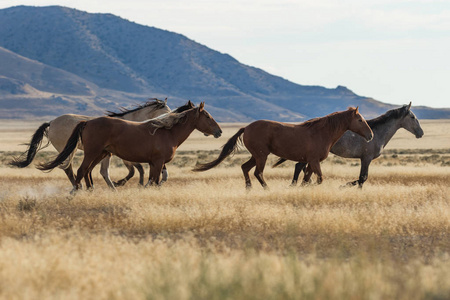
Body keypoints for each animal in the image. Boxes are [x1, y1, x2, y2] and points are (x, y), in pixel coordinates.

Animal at [38, 102, 221, 193]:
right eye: (207, 116)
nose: (219, 131)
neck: (167, 132)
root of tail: (87, 122)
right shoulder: (156, 161)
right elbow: (151, 179)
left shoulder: (156, 163)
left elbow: (155, 178)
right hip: (90, 152)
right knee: (78, 170)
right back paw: (76, 191)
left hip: (101, 154)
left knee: (88, 171)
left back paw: (90, 190)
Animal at [193, 106, 372, 189]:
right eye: (360, 120)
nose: (370, 135)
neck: (322, 132)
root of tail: (247, 127)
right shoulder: (314, 161)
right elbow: (319, 179)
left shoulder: (310, 162)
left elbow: (306, 179)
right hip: (261, 156)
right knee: (258, 173)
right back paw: (267, 189)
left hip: (256, 156)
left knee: (245, 168)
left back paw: (248, 189)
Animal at [272, 102, 424, 188]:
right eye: (412, 117)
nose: (421, 133)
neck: (377, 132)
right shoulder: (366, 158)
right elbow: (362, 178)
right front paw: (345, 186)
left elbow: (362, 178)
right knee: (299, 167)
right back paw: (297, 184)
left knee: (300, 167)